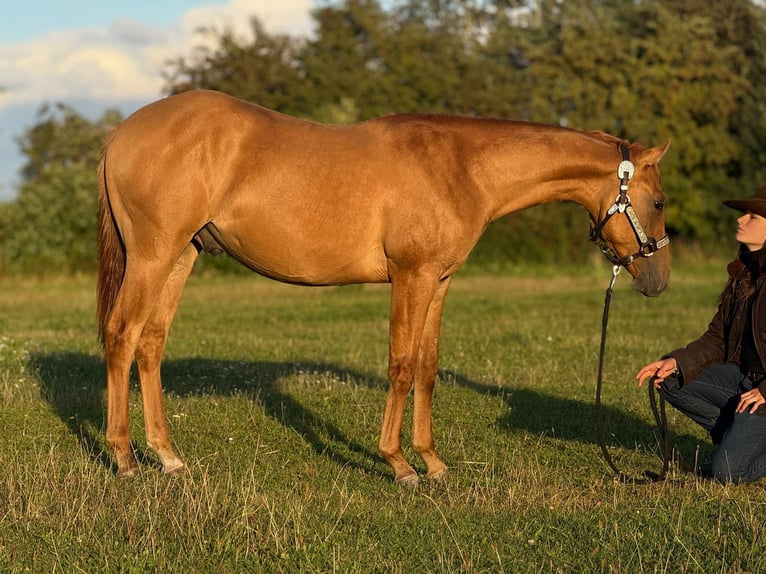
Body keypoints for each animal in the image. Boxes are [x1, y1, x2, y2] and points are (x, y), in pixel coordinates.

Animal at [97, 89, 670, 484]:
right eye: (660, 201)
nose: (659, 280)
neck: (461, 167)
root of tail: (122, 132)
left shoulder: (439, 281)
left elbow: (427, 368)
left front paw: (433, 461)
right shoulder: (411, 276)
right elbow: (401, 366)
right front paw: (400, 465)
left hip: (181, 257)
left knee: (151, 344)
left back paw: (169, 457)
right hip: (152, 256)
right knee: (122, 335)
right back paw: (125, 459)